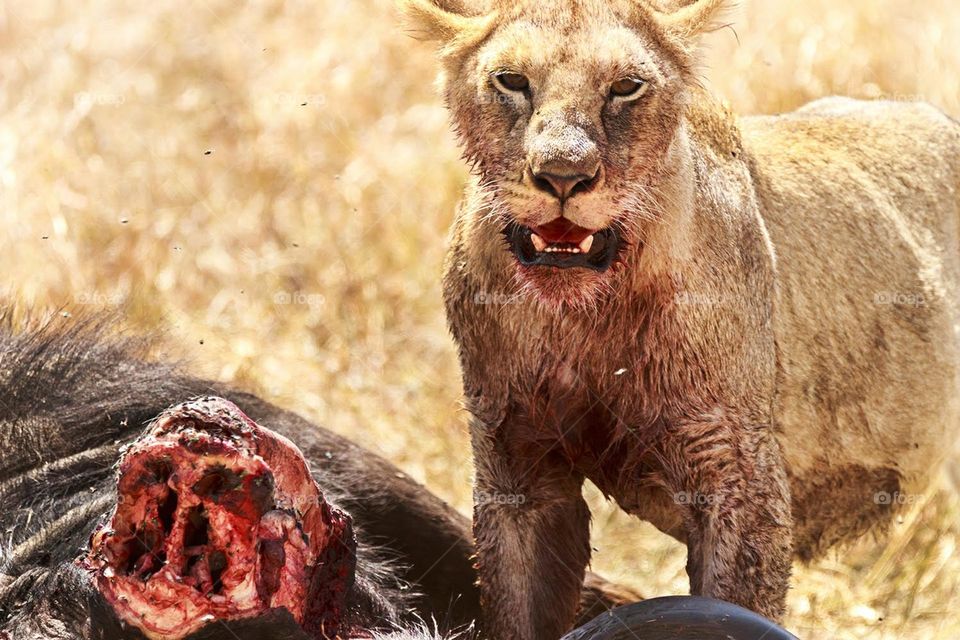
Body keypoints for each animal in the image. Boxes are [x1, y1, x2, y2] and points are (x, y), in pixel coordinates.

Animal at [399, 0, 960, 637]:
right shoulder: (517, 466)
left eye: (626, 87)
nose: (564, 176)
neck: (588, 318)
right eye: (511, 81)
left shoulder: (738, 477)